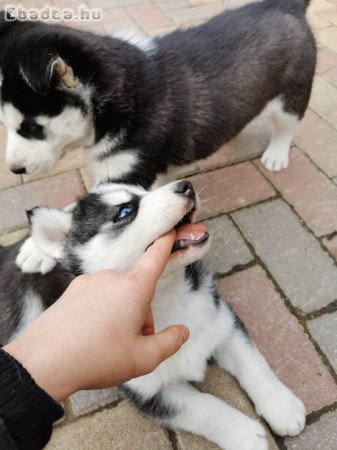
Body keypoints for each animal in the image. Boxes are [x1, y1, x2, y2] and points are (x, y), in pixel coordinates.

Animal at [0, 0, 316, 185]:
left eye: (31, 127)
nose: (14, 170)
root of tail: (285, 5)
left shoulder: (128, 168)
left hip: (292, 94)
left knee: (287, 125)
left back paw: (276, 155)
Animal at [0, 180, 304, 450]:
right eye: (124, 211)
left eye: (146, 189)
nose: (186, 185)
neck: (166, 297)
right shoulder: (146, 387)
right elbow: (203, 408)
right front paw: (243, 434)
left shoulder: (223, 322)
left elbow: (254, 364)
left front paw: (282, 406)